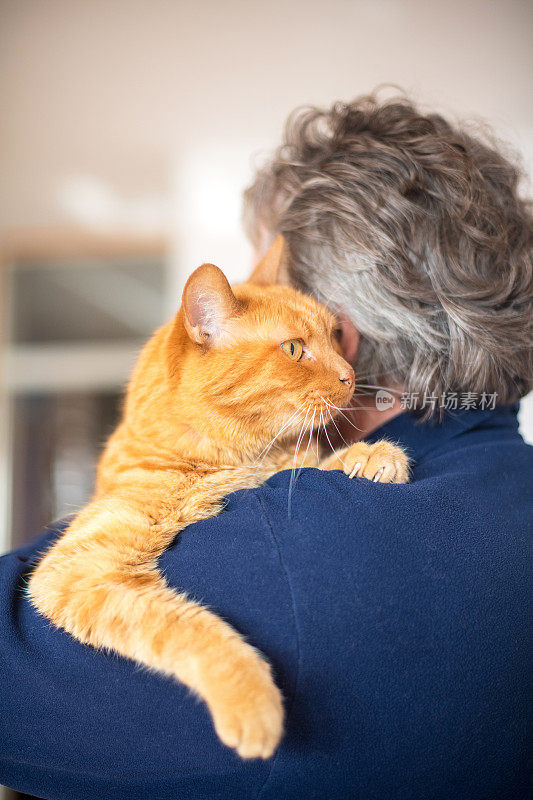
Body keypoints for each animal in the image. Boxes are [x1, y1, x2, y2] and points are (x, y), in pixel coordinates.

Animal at [28, 241, 408, 760]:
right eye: (294, 349)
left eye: (335, 337)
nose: (351, 375)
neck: (230, 462)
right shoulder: (84, 568)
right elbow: (189, 628)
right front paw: (250, 700)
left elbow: (310, 464)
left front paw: (372, 455)